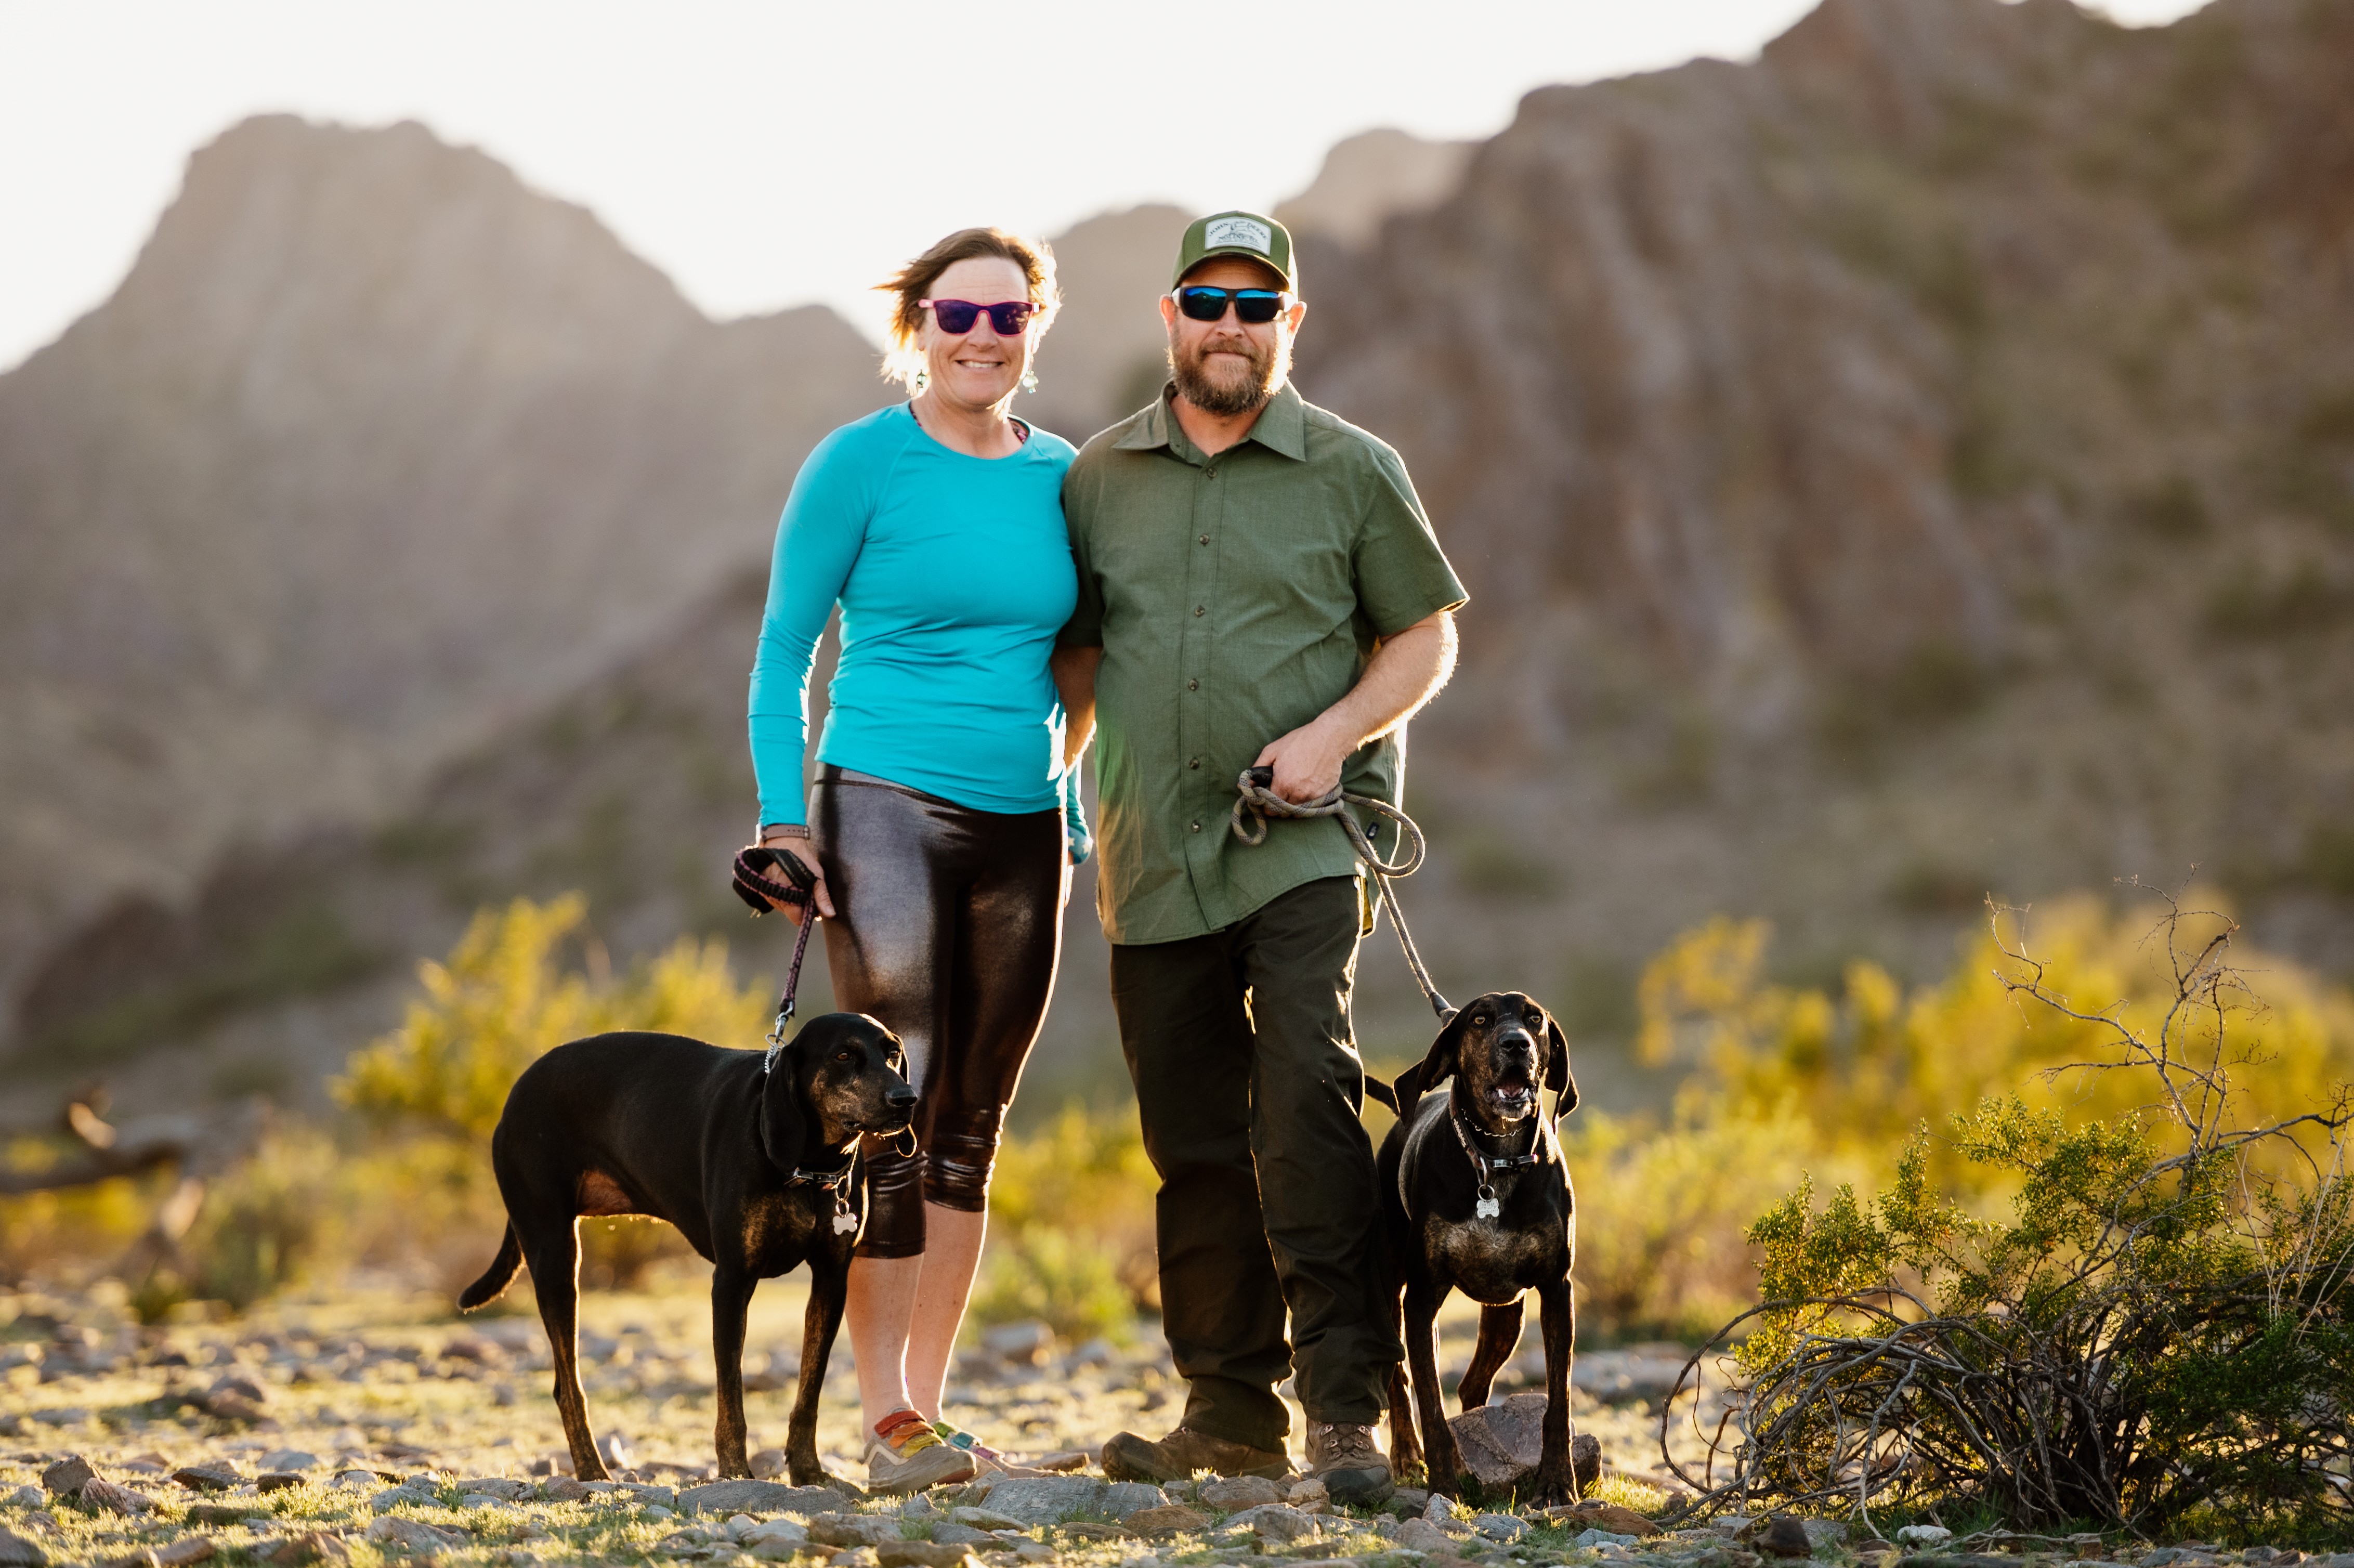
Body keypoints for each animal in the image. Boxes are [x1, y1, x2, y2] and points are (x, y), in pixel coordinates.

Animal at [456, 1012, 908, 1478]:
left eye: (893, 1052)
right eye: (843, 1055)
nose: (906, 1099)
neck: (810, 1168)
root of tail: (516, 1093)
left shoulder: (831, 1281)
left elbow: (809, 1391)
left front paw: (807, 1471)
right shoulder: (732, 1282)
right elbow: (731, 1397)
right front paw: (735, 1472)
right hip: (556, 1257)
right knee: (569, 1388)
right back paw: (594, 1473)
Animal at [1365, 988, 1581, 1507]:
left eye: (1535, 1019)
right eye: (1480, 1020)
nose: (1516, 1044)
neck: (1497, 1161)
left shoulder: (1556, 1292)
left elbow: (1559, 1401)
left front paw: (1557, 1482)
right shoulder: (1422, 1299)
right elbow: (1430, 1404)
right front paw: (1443, 1483)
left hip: (1507, 1316)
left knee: (1471, 1386)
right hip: (1390, 1290)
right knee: (1399, 1378)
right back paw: (1408, 1455)